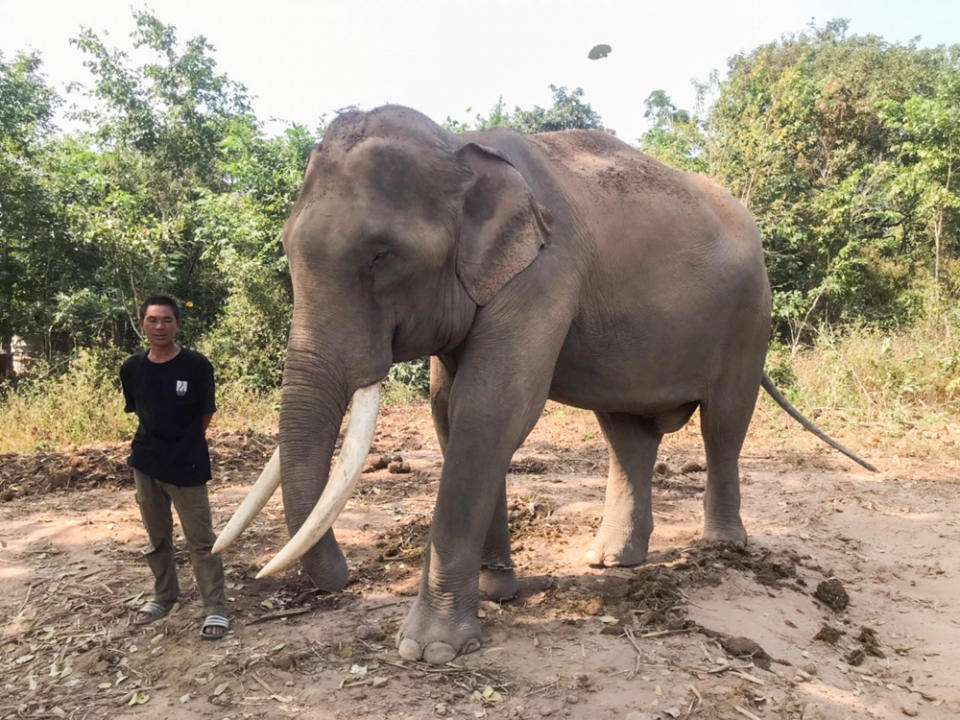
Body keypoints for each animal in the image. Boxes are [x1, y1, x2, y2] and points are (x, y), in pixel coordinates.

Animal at [214, 105, 872, 664]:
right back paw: (612, 562)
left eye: (381, 255)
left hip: (748, 316)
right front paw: (497, 590)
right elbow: (450, 410)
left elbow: (494, 406)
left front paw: (430, 649)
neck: (462, 148)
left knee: (725, 423)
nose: (346, 578)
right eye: (286, 248)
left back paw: (721, 549)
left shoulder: (545, 271)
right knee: (628, 434)